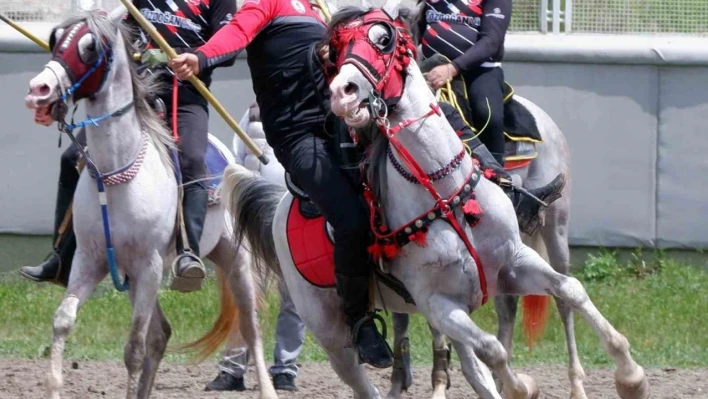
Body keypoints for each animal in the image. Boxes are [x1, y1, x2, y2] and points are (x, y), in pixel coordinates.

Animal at [22, 9, 276, 399]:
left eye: (89, 46)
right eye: (55, 39)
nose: (40, 90)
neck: (115, 176)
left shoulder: (151, 265)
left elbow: (134, 348)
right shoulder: (90, 260)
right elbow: (63, 321)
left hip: (237, 262)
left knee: (251, 329)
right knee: (162, 333)